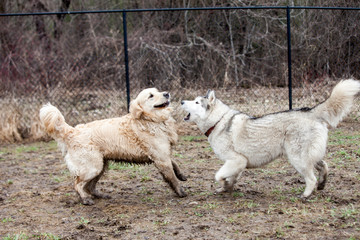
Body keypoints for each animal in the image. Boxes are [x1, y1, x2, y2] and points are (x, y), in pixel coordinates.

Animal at [39, 88, 187, 204]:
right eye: (151, 95)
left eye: (157, 91)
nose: (166, 93)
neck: (150, 119)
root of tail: (73, 131)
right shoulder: (161, 158)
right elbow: (172, 177)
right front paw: (180, 192)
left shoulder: (163, 154)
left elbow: (174, 164)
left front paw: (181, 175)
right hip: (93, 168)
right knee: (78, 184)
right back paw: (86, 199)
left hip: (101, 167)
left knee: (89, 186)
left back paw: (100, 195)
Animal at [183, 79, 360, 198]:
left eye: (197, 102)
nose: (182, 101)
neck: (218, 121)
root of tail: (311, 111)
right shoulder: (237, 164)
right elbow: (230, 177)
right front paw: (227, 187)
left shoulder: (237, 160)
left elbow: (218, 176)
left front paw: (224, 184)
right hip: (307, 155)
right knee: (324, 166)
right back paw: (322, 184)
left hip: (297, 159)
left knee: (311, 178)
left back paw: (306, 194)